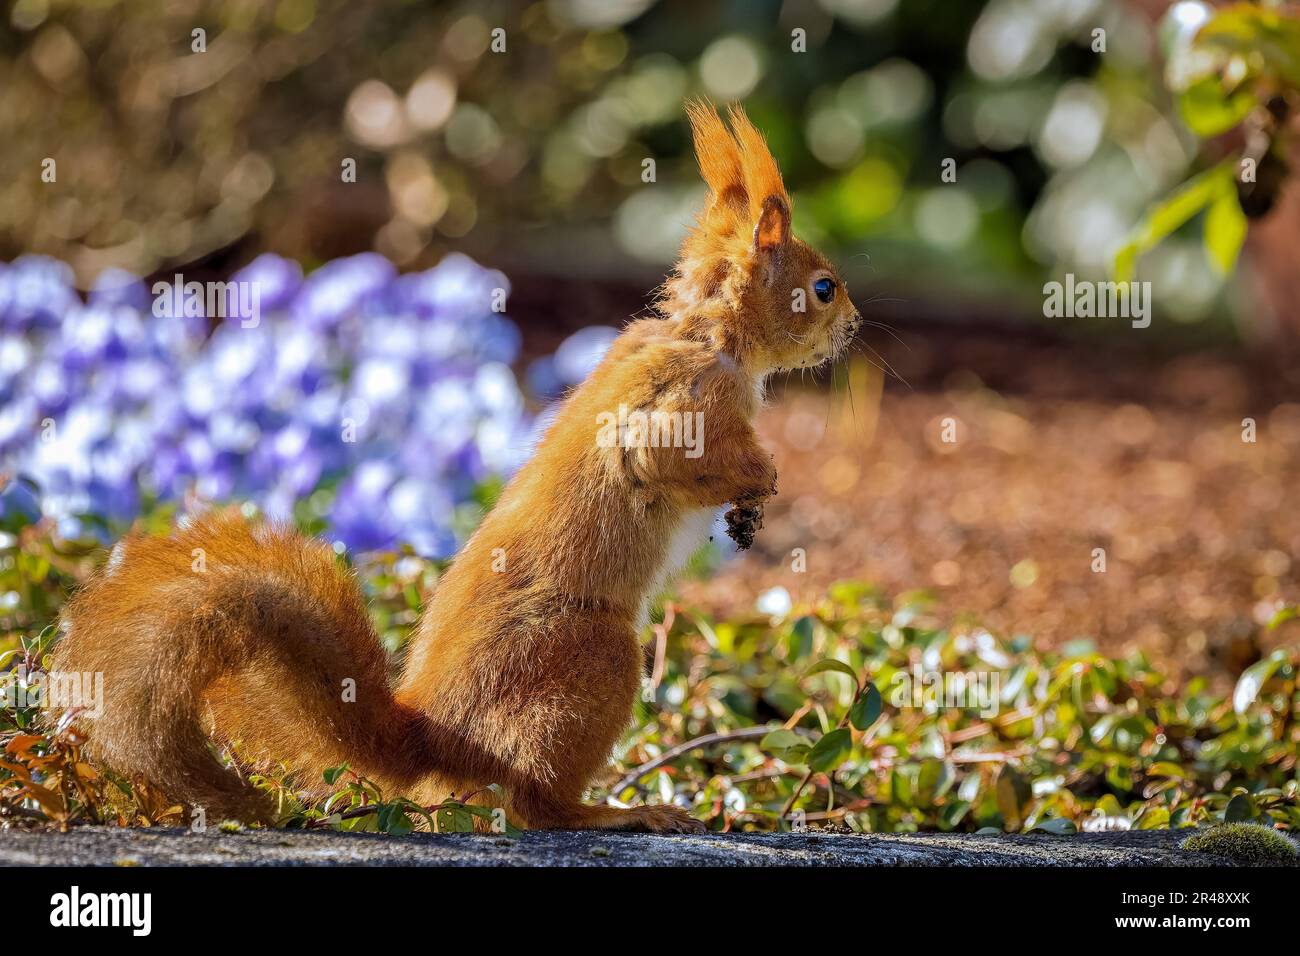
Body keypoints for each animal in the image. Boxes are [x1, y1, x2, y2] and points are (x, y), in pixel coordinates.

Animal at [49, 102, 861, 832]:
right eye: (823, 287)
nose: (853, 326)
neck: (711, 337)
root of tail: (438, 742)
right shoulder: (680, 401)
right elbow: (659, 455)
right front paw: (760, 476)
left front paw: (749, 508)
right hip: (590, 659)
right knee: (535, 806)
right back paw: (618, 813)